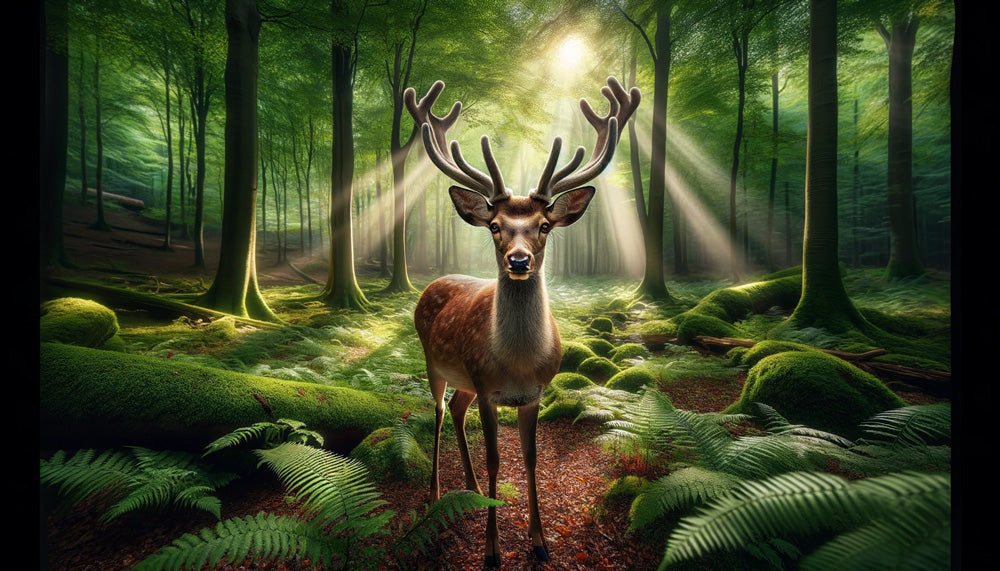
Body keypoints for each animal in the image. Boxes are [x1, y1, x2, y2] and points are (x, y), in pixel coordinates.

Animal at [404, 77, 640, 568]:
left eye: (544, 225)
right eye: (494, 225)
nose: (518, 260)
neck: (515, 364)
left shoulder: (534, 393)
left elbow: (531, 460)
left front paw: (539, 540)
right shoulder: (489, 389)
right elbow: (497, 459)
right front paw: (492, 549)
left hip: (466, 380)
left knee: (456, 408)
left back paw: (472, 487)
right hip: (435, 364)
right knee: (437, 411)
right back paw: (435, 492)